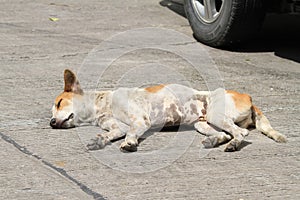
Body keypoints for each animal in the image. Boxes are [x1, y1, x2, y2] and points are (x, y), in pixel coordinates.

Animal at [50, 69, 288, 152]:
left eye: (60, 103)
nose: (51, 122)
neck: (103, 104)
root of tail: (249, 97)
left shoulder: (141, 121)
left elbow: (130, 133)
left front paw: (130, 143)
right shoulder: (116, 127)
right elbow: (111, 134)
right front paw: (99, 140)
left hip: (216, 114)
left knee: (241, 133)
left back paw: (234, 145)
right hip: (203, 124)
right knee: (224, 134)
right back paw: (215, 141)